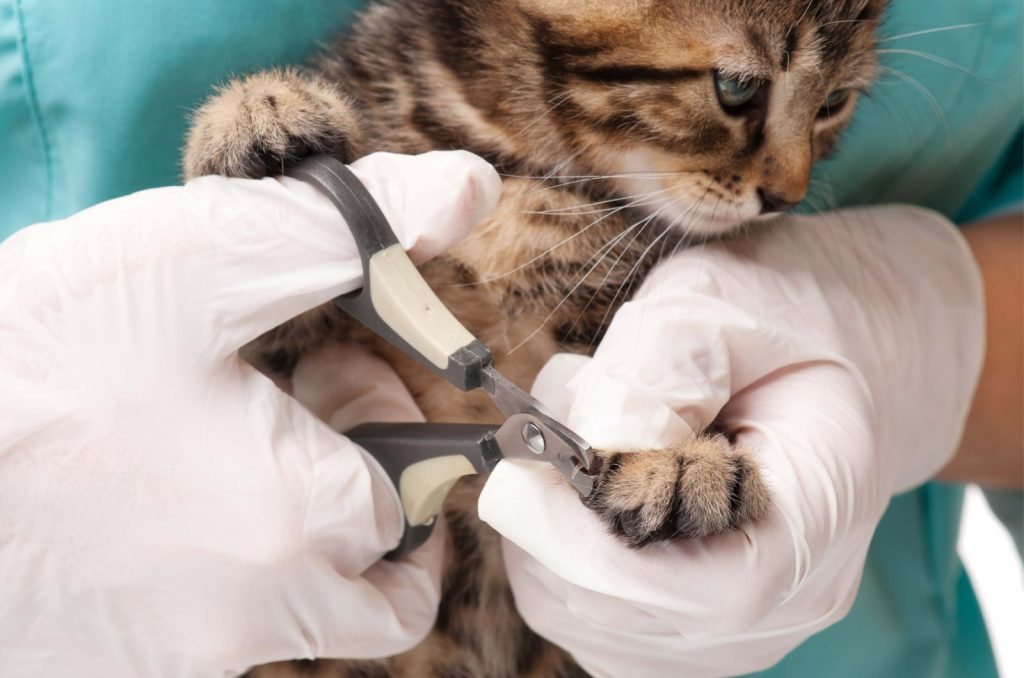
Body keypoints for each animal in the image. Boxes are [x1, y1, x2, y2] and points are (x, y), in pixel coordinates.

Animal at [184, 2, 888, 675]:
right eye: (737, 88)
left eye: (833, 103)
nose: (786, 196)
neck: (523, 153)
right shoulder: (290, 348)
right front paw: (249, 115)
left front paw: (679, 466)